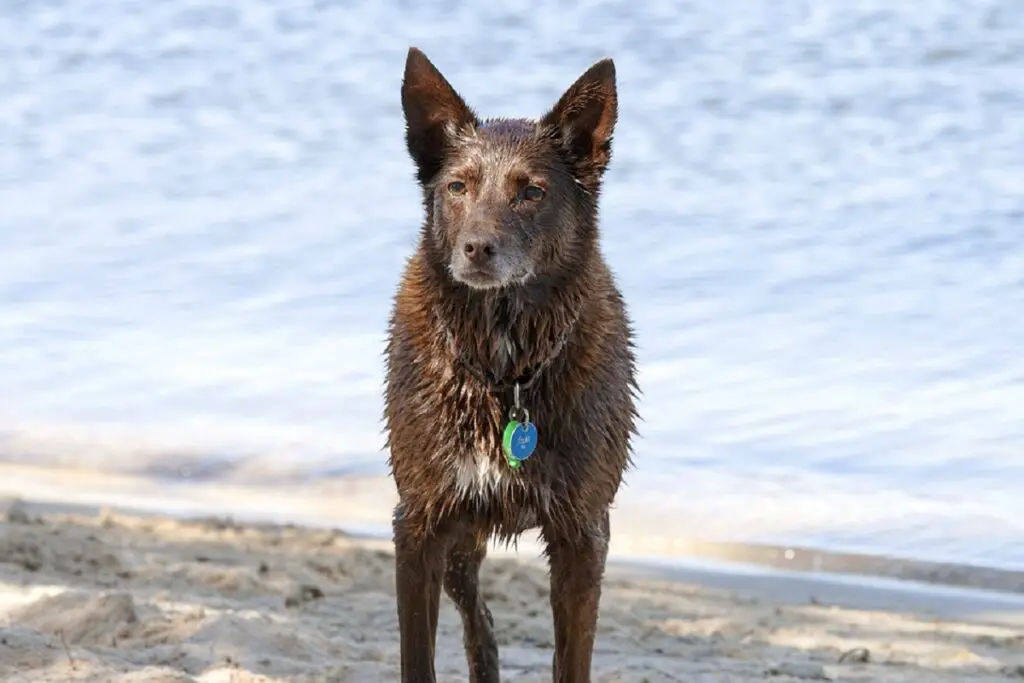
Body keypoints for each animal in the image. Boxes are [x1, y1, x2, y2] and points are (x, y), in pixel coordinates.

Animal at [385, 48, 638, 683]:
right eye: (458, 187)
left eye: (532, 192)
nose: (476, 248)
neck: (507, 369)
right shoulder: (418, 525)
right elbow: (417, 656)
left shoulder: (583, 535)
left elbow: (572, 658)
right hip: (458, 540)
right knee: (478, 616)